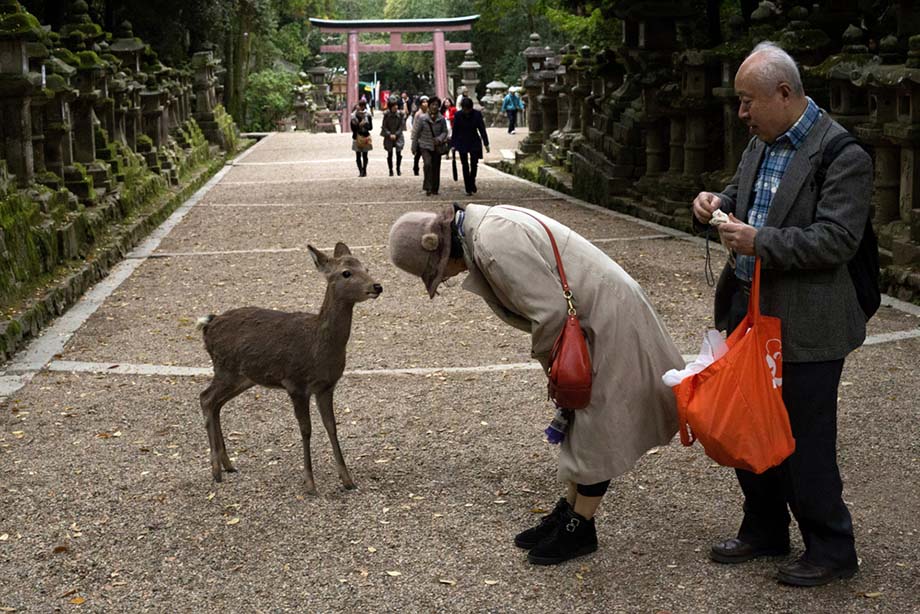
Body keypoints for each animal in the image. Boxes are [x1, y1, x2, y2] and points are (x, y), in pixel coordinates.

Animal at [194, 243, 380, 498]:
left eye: (367, 268)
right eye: (346, 273)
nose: (377, 286)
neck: (317, 347)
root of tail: (208, 324)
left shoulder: (327, 386)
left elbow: (331, 427)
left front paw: (348, 481)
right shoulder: (295, 383)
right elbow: (306, 429)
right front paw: (311, 485)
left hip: (242, 377)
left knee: (216, 403)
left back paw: (228, 465)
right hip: (225, 368)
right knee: (205, 398)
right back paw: (215, 471)